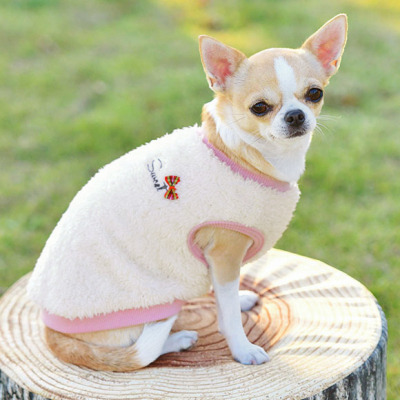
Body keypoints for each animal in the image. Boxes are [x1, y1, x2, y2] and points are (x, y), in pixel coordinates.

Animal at [27, 14, 347, 371]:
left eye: (315, 94)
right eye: (260, 107)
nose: (295, 115)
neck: (245, 153)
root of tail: (51, 329)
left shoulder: (222, 264)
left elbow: (225, 298)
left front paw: (239, 299)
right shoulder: (224, 254)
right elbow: (227, 315)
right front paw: (243, 349)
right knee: (140, 353)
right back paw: (178, 339)